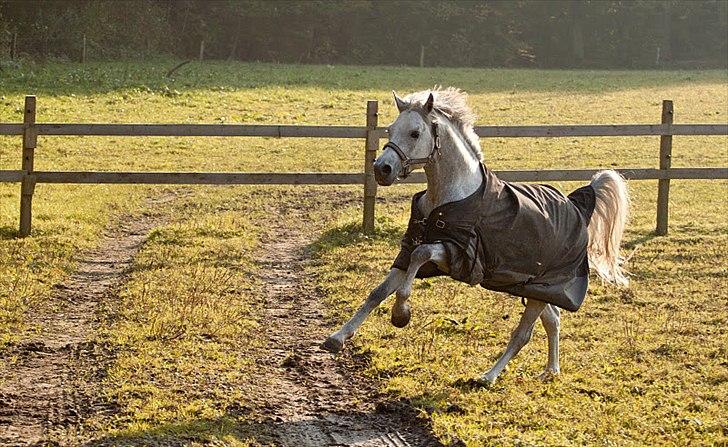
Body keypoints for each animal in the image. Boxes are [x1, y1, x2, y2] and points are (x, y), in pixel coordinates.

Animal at [323, 87, 629, 386]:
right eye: (389, 129)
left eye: (415, 133)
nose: (381, 169)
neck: (451, 196)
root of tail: (577, 206)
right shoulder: (409, 250)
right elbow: (377, 292)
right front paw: (337, 338)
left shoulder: (455, 254)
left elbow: (418, 262)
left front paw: (401, 315)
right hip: (533, 289)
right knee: (553, 320)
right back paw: (550, 371)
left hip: (545, 288)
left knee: (523, 334)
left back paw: (488, 377)